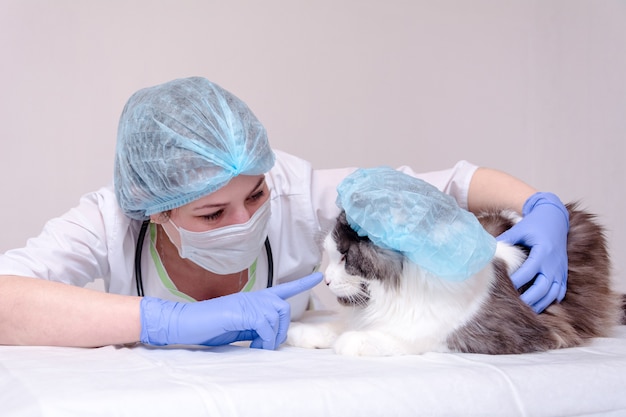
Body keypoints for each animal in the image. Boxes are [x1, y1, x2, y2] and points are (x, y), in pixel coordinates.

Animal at [286, 202, 620, 354]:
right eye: (331, 256)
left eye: (344, 257)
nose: (326, 281)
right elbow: (335, 326)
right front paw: (298, 332)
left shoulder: (469, 332)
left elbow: (396, 337)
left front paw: (351, 341)